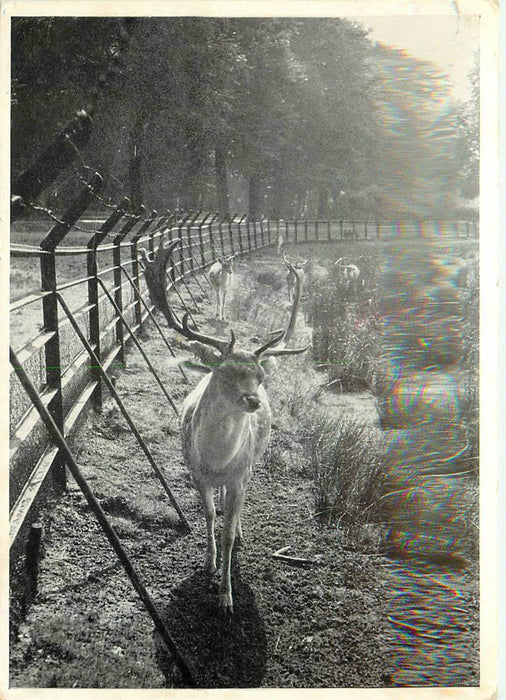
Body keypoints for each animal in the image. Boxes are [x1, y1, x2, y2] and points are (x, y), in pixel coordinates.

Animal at [142, 238, 308, 608]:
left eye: (259, 376)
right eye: (225, 371)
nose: (253, 401)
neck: (217, 459)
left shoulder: (240, 476)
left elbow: (230, 532)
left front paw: (226, 597)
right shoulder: (196, 473)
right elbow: (207, 515)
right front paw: (209, 563)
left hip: (251, 467)